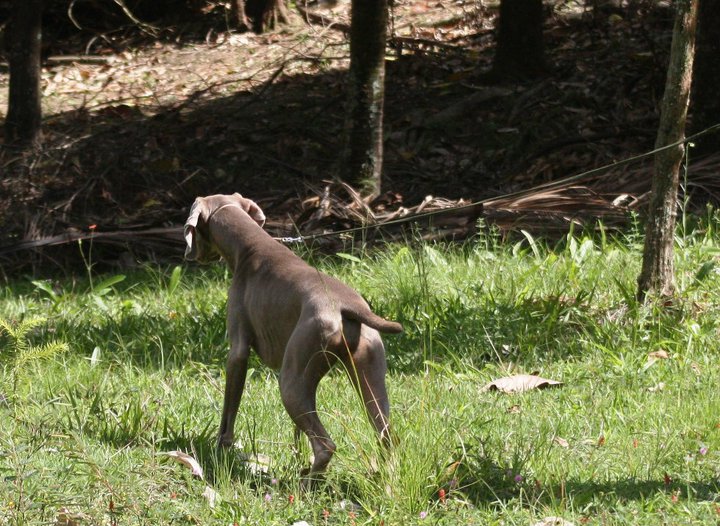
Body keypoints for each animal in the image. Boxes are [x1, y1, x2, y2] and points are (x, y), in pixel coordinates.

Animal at [183, 196, 402, 480]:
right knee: (385, 434)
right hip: (367, 372)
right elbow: (297, 431)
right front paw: (297, 454)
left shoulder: (238, 351)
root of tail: (348, 306)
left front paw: (221, 447)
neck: (251, 246)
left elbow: (229, 408)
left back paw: (306, 482)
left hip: (292, 381)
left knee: (325, 445)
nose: (191, 256)